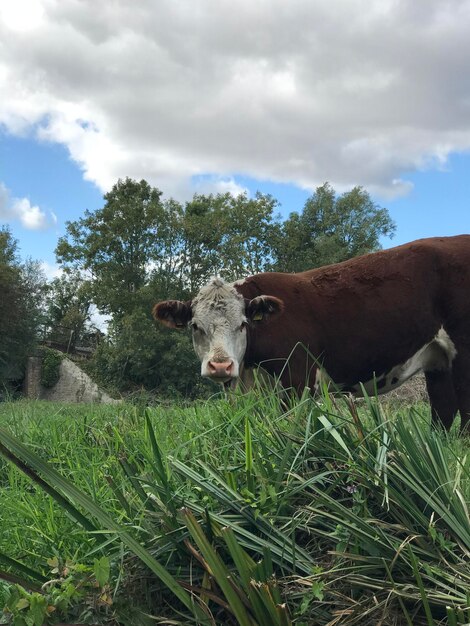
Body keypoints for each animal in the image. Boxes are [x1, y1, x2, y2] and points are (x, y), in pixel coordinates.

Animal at [153, 234, 470, 428]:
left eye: (243, 323)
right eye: (195, 326)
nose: (220, 365)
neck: (250, 369)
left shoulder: (297, 379)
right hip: (439, 363)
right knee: (443, 412)